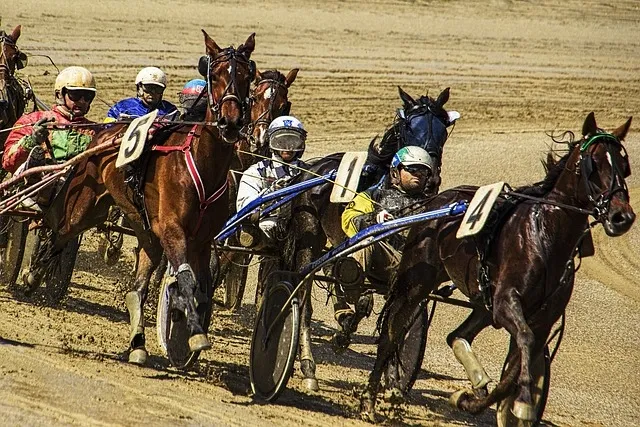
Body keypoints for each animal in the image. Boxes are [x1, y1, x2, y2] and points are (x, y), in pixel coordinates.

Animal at [29, 30, 255, 366]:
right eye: (214, 75)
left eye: (246, 76)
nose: (230, 122)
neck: (202, 163)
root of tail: (104, 132)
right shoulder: (172, 230)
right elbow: (186, 280)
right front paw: (195, 333)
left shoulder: (201, 241)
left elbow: (200, 288)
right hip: (84, 207)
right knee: (57, 232)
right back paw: (33, 272)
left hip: (144, 229)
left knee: (136, 289)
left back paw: (137, 344)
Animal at [360, 112, 636, 422]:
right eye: (593, 164)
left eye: (624, 166)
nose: (622, 216)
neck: (545, 235)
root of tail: (437, 202)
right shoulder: (506, 302)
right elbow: (525, 341)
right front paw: (521, 401)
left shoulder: (543, 318)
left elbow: (519, 364)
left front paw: (476, 401)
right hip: (416, 281)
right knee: (392, 332)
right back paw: (369, 400)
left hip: (481, 301)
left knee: (457, 335)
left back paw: (476, 383)